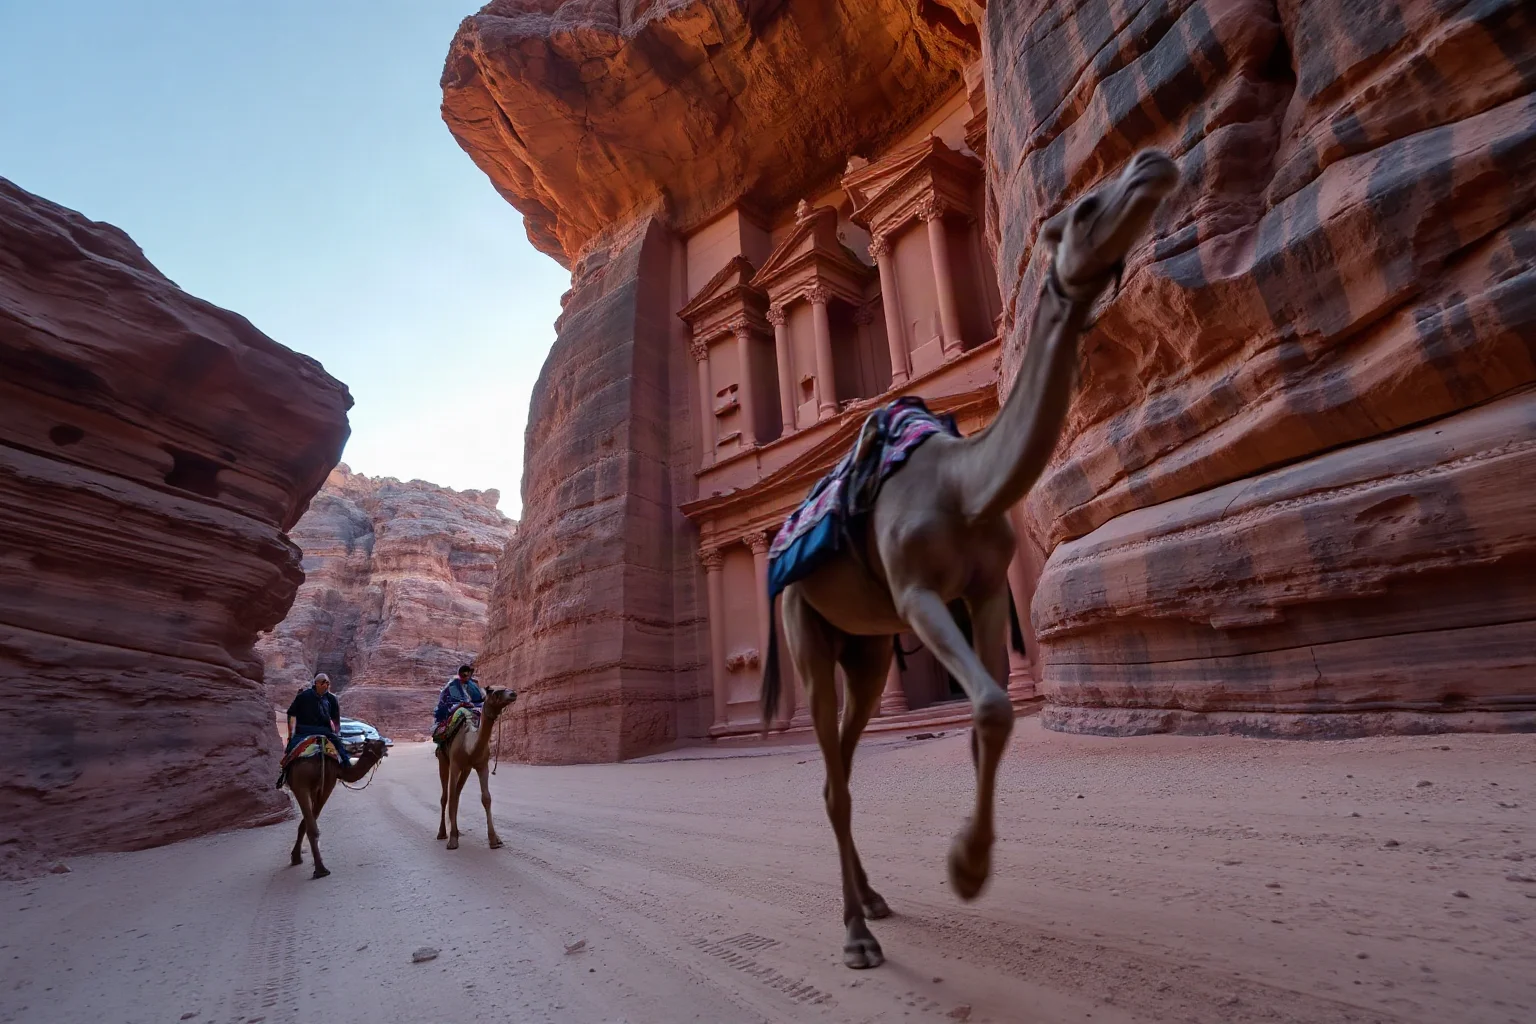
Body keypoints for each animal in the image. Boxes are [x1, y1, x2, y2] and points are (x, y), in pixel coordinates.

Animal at [287, 736, 389, 879]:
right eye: (377, 743)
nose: (386, 746)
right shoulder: (329, 780)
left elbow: (305, 822)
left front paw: (295, 856)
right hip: (318, 783)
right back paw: (321, 869)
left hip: (306, 785)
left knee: (310, 823)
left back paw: (319, 869)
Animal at [436, 687, 518, 850]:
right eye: (494, 691)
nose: (513, 694)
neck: (469, 746)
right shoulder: (455, 764)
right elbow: (450, 797)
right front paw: (452, 841)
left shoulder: (482, 765)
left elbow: (486, 798)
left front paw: (495, 840)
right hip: (443, 760)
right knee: (446, 796)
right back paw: (442, 833)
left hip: (466, 770)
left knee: (457, 794)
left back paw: (457, 831)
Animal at [760, 149, 1180, 969]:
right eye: (1082, 210)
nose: (1151, 162)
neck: (964, 483)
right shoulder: (919, 594)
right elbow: (988, 705)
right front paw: (965, 866)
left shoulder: (984, 593)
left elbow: (996, 717)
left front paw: (969, 861)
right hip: (805, 630)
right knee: (832, 773)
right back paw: (855, 933)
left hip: (865, 653)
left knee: (842, 770)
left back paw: (874, 902)